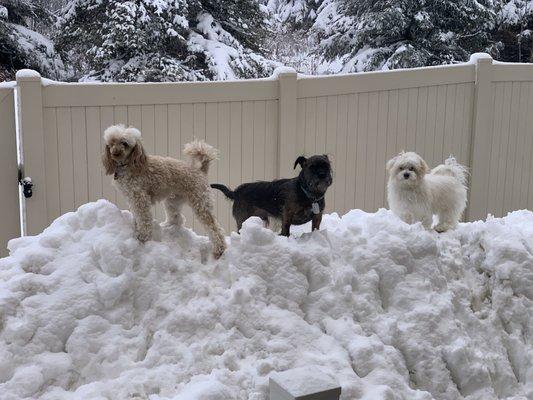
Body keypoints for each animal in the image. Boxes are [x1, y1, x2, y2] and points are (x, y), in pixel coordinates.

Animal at [103, 125, 225, 260]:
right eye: (111, 143)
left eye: (125, 143)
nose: (115, 153)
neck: (129, 165)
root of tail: (200, 171)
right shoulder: (131, 198)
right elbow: (137, 216)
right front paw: (135, 228)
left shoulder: (140, 198)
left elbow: (144, 218)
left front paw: (142, 237)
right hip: (173, 201)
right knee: (177, 219)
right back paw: (167, 226)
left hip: (201, 203)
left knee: (214, 228)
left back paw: (219, 250)